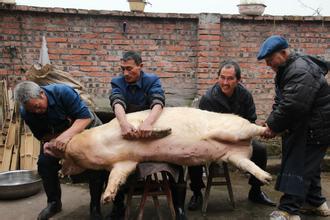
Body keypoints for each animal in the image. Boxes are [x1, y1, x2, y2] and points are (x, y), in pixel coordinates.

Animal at [48, 106, 270, 203]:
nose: (58, 168)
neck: (101, 146)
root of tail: (246, 145)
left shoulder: (131, 126)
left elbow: (142, 129)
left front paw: (166, 131)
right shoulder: (125, 162)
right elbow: (116, 176)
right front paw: (107, 198)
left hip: (237, 129)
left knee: (255, 129)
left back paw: (269, 130)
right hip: (235, 156)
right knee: (249, 164)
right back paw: (266, 178)